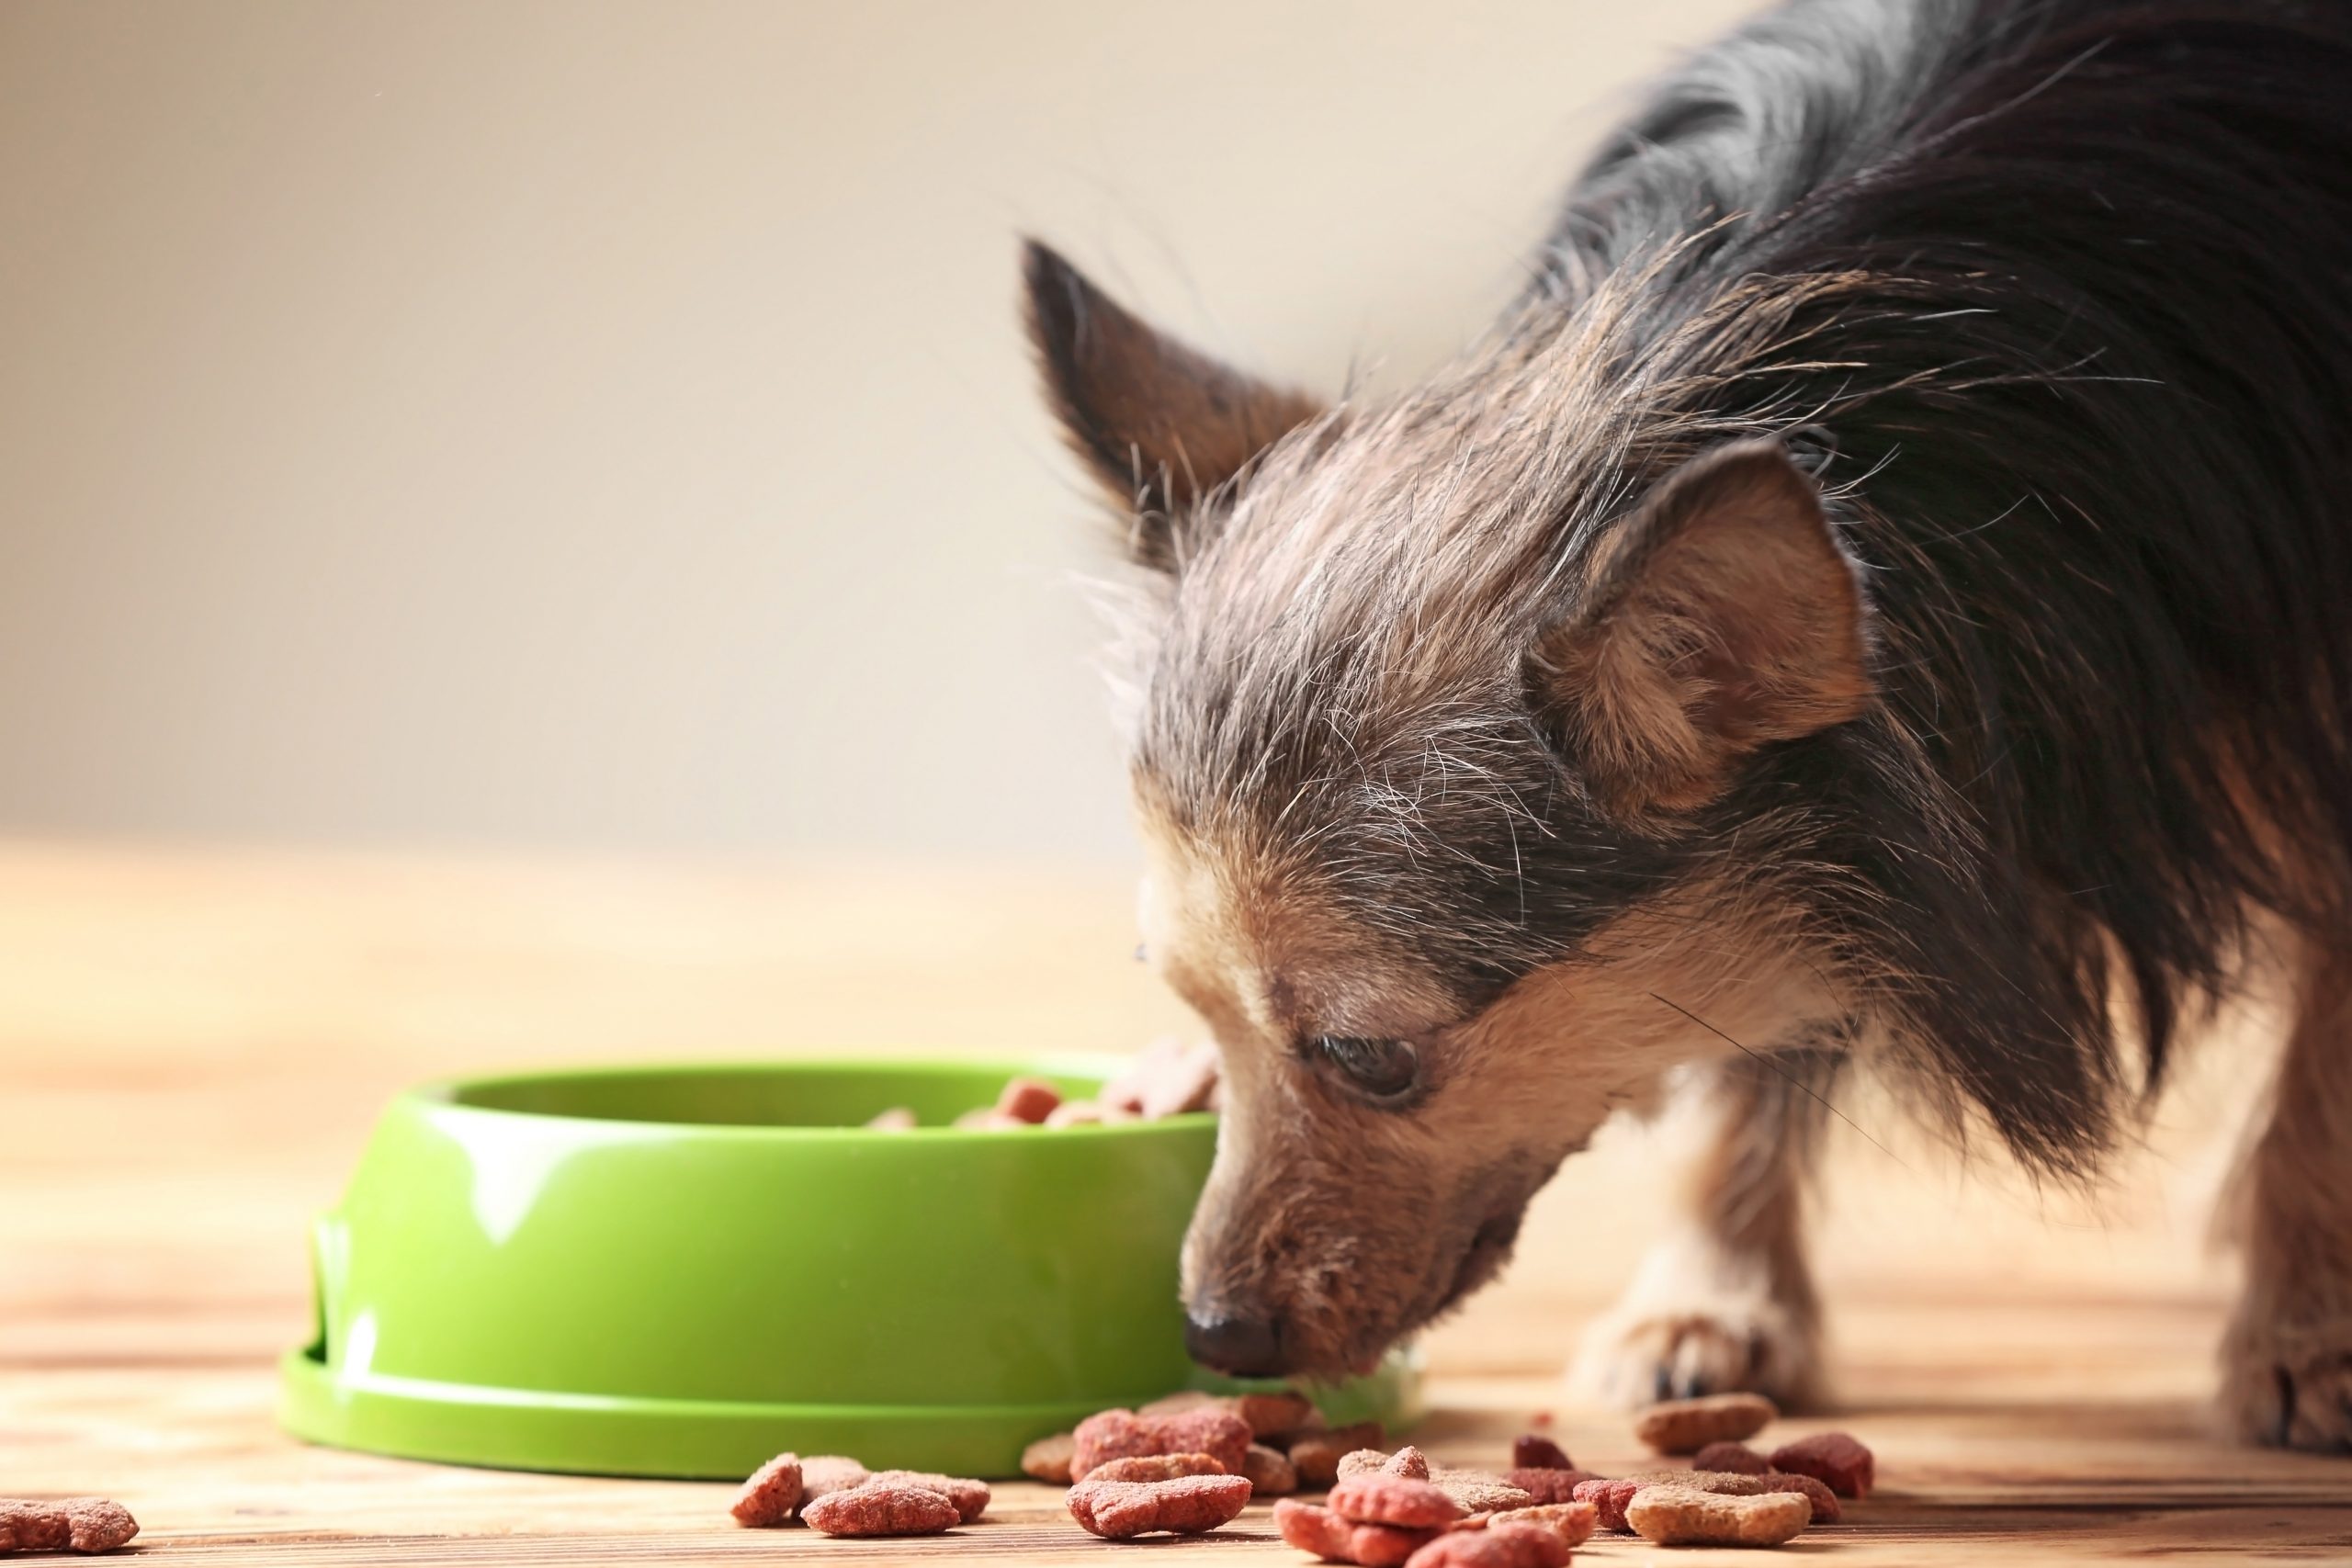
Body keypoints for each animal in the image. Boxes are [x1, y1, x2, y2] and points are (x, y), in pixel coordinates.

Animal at [1021, 0, 2352, 1457]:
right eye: (1194, 1012)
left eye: (1369, 1057)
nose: (1213, 1334)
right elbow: (1746, 1034)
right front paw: (1710, 1300)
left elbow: (2325, 1070)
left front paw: (2304, 1327)